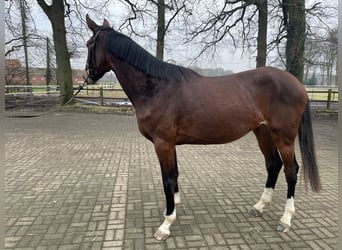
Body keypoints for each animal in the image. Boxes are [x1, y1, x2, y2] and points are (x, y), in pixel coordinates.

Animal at [85, 15, 320, 240]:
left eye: (89, 44)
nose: (88, 76)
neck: (156, 88)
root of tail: (298, 85)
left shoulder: (162, 143)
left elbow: (167, 179)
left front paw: (166, 224)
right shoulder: (170, 144)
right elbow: (174, 174)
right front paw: (173, 208)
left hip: (284, 137)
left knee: (291, 170)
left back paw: (285, 219)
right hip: (262, 132)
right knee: (273, 164)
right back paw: (259, 206)